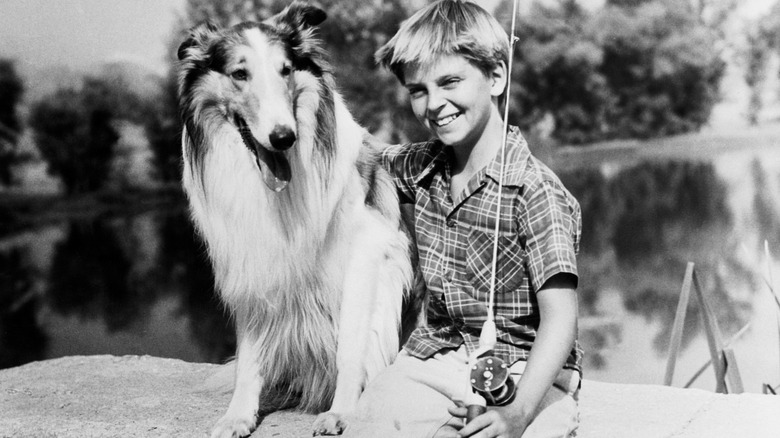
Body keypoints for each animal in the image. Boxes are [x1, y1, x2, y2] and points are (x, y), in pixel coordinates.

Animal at [177, 1, 414, 436]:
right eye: (239, 74)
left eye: (285, 70)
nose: (283, 137)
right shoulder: (254, 265)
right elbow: (249, 359)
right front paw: (238, 415)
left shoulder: (368, 254)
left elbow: (350, 346)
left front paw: (341, 411)